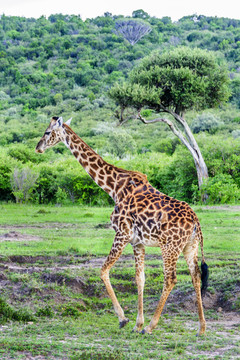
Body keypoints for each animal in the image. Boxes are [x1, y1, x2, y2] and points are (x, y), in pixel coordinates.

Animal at [35, 116, 208, 334]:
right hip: (189, 246)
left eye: (47, 132)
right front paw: (136, 323)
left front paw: (124, 319)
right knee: (196, 276)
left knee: (170, 278)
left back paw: (151, 326)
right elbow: (140, 278)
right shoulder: (137, 242)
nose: (38, 147)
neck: (113, 187)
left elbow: (103, 270)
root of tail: (196, 221)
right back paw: (201, 328)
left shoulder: (122, 234)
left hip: (170, 246)